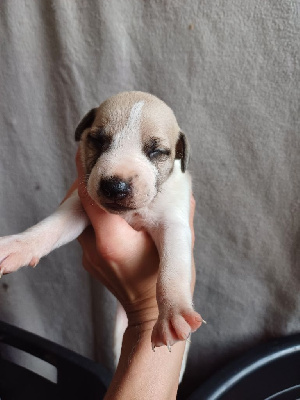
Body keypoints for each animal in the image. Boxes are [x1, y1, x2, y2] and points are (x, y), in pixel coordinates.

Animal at [0, 90, 204, 368]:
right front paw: (17, 246)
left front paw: (173, 312)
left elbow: (172, 268)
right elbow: (51, 226)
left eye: (157, 151)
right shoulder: (80, 204)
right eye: (97, 140)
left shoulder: (173, 223)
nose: (115, 187)